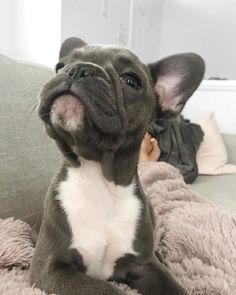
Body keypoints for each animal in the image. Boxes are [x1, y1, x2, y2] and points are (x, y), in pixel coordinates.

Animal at [30, 37, 205, 295]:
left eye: (131, 81)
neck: (99, 178)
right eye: (59, 67)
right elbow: (109, 290)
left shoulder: (145, 266)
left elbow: (175, 287)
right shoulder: (50, 268)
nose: (78, 69)